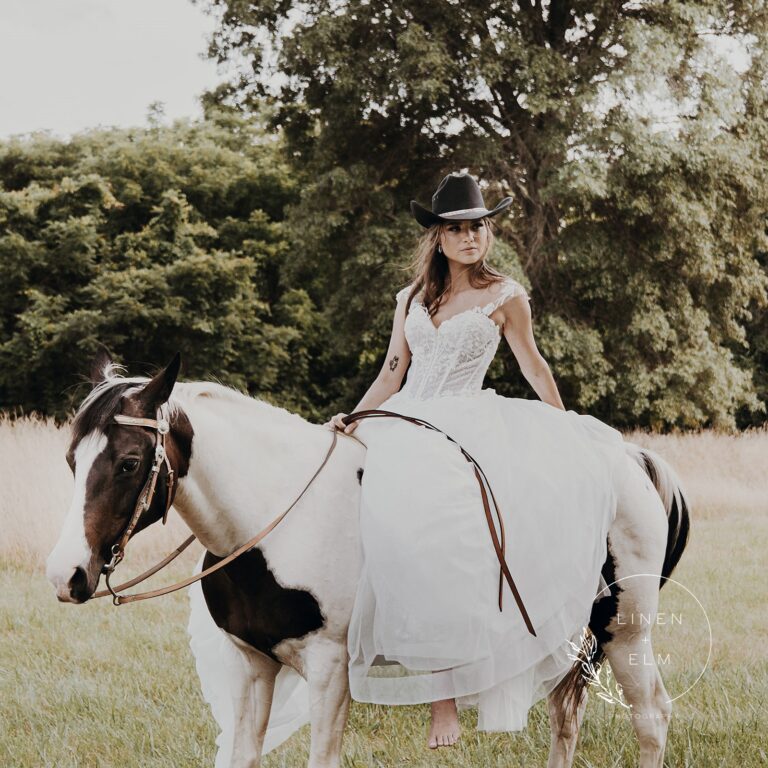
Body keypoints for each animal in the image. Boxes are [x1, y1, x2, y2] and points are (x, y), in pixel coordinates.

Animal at [45, 354, 688, 768]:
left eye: (129, 462)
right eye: (72, 458)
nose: (65, 575)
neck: (278, 518)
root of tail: (627, 457)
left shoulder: (330, 669)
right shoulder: (253, 665)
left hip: (624, 629)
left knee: (652, 717)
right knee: (564, 712)